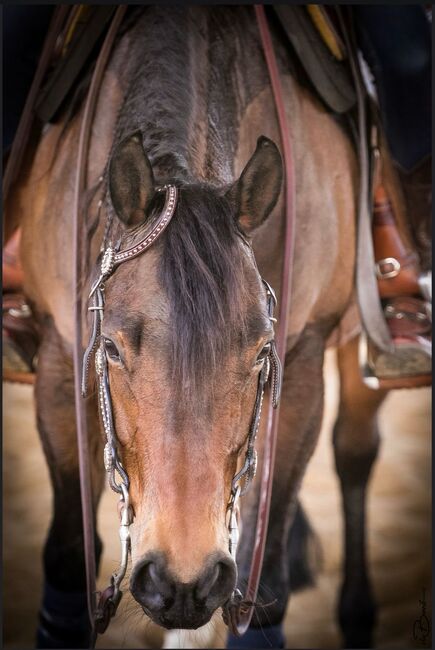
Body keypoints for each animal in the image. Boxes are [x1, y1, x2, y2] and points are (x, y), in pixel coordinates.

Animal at [7, 5, 416, 648]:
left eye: (261, 352)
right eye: (112, 349)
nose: (180, 583)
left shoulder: (301, 361)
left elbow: (265, 580)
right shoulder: (59, 358)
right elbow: (67, 563)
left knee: (354, 450)